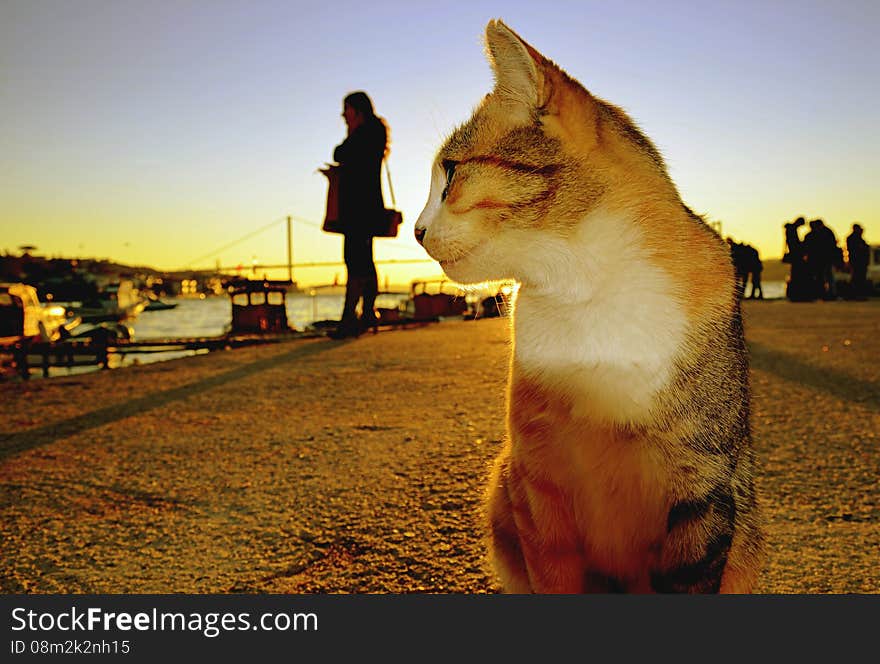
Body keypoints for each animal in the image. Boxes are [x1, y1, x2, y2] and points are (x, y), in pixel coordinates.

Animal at [412, 20, 764, 592]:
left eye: (451, 171)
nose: (416, 231)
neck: (585, 287)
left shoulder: (703, 486)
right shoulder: (537, 484)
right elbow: (552, 573)